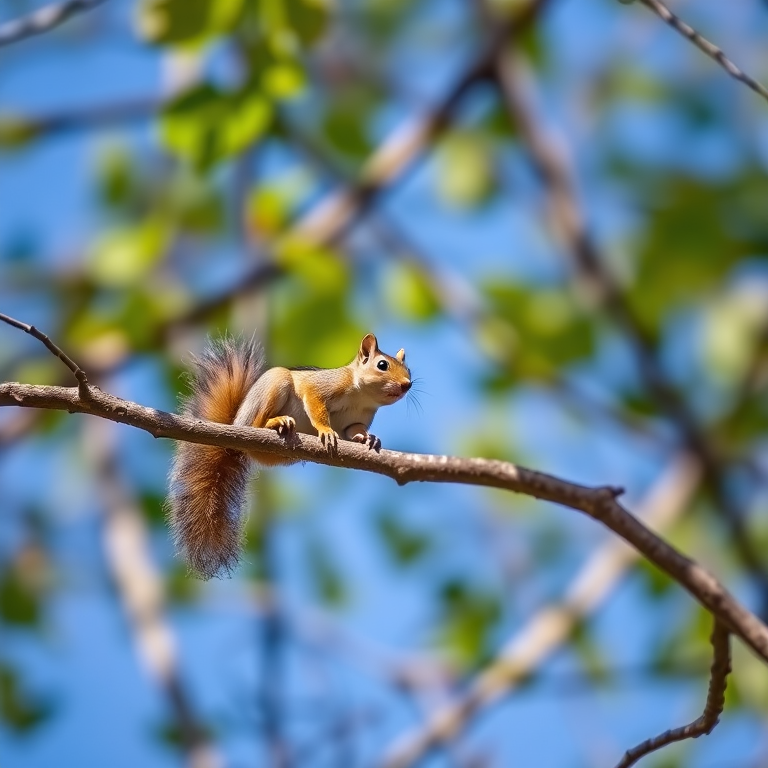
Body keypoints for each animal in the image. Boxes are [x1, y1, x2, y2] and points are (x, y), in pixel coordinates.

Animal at [167, 333, 412, 579]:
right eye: (382, 365)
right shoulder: (322, 387)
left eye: (408, 370)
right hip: (276, 383)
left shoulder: (355, 422)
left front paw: (369, 439)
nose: (407, 385)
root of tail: (235, 432)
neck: (362, 397)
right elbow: (316, 406)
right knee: (257, 422)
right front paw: (326, 430)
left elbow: (354, 432)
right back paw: (275, 423)